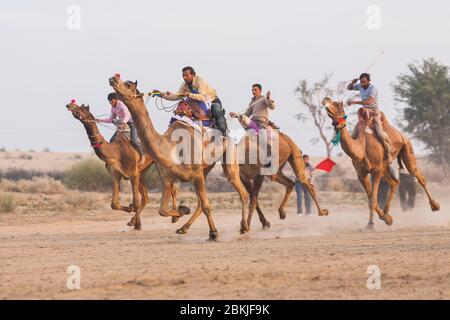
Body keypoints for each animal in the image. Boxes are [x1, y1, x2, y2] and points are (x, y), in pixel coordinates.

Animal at [65, 101, 181, 229]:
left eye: (82, 108)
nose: (69, 105)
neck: (115, 152)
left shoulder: (133, 174)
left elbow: (136, 201)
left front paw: (138, 225)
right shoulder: (115, 175)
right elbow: (114, 204)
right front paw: (130, 210)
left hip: (160, 164)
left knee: (172, 189)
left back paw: (174, 218)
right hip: (143, 171)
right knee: (146, 197)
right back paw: (132, 221)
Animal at [109, 75, 250, 240]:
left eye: (129, 85)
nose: (113, 78)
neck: (170, 146)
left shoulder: (196, 174)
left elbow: (207, 206)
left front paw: (213, 233)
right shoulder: (167, 178)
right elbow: (162, 210)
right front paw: (182, 211)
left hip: (228, 154)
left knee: (240, 189)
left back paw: (244, 227)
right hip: (206, 168)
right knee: (201, 202)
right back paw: (183, 228)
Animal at [322, 96, 442, 226]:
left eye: (337, 104)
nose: (325, 99)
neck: (361, 148)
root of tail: (402, 135)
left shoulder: (376, 170)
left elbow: (372, 200)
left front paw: (371, 224)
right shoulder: (361, 174)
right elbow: (371, 199)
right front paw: (386, 218)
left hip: (406, 149)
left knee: (418, 176)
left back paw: (435, 205)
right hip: (385, 167)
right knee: (394, 182)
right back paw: (386, 212)